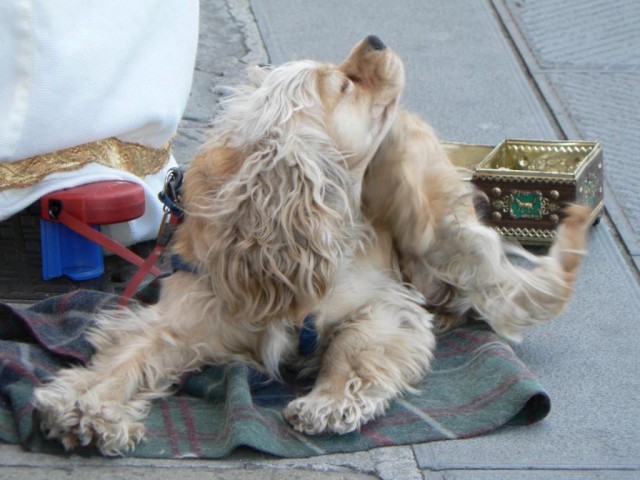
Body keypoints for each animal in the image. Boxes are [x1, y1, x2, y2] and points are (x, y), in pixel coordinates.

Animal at [31, 35, 592, 456]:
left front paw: (328, 403)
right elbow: (128, 356)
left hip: (438, 227)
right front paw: (84, 406)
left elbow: (352, 348)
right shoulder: (181, 314)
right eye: (344, 84)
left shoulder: (382, 304)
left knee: (512, 287)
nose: (375, 38)